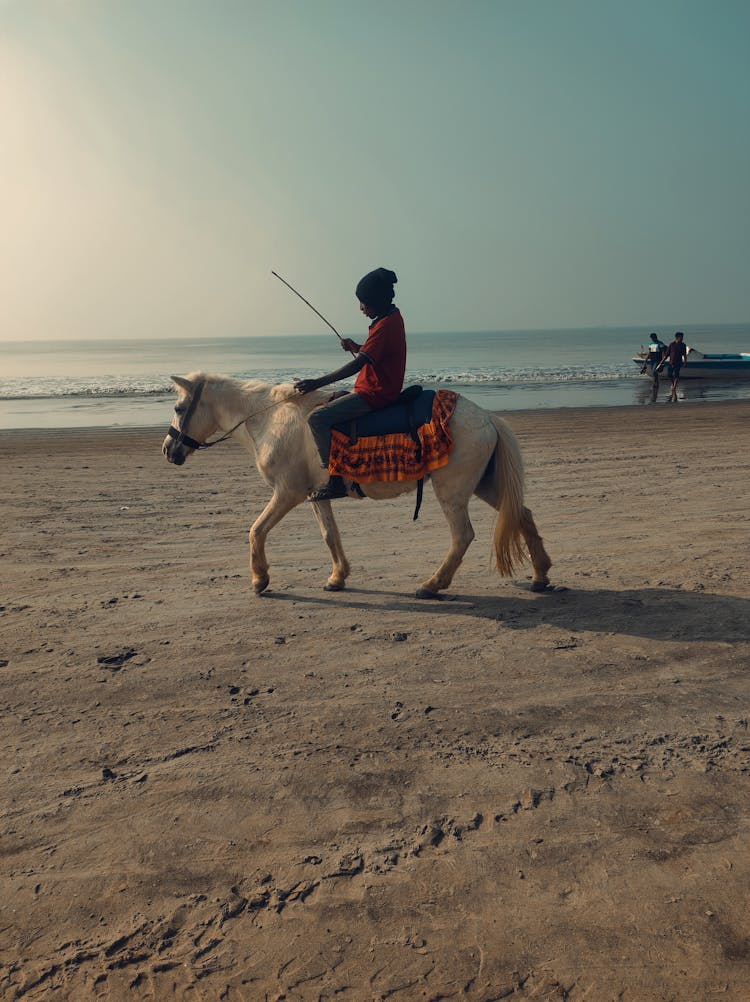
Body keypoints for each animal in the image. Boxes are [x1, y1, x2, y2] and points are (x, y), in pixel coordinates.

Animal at [162, 374, 548, 593]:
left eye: (179, 408)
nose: (168, 450)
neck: (270, 419)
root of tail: (488, 418)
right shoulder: (316, 495)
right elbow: (330, 535)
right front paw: (338, 578)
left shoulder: (286, 493)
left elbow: (256, 530)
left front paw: (260, 580)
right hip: (485, 485)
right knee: (522, 515)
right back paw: (540, 577)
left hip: (452, 492)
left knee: (463, 536)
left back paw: (432, 585)